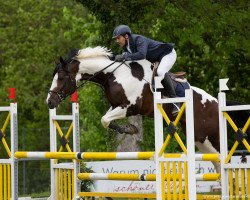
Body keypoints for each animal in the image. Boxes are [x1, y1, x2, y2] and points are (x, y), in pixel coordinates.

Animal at [47, 46, 248, 173]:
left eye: (61, 78)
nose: (49, 102)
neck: (114, 74)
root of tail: (217, 102)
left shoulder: (129, 106)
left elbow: (105, 119)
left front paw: (129, 129)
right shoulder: (116, 106)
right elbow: (105, 120)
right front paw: (129, 129)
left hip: (208, 137)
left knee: (223, 159)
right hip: (200, 140)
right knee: (217, 163)